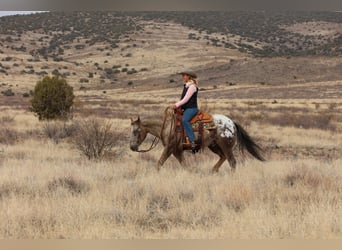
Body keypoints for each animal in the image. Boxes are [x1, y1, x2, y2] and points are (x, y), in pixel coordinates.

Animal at [130, 108, 266, 173]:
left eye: (136, 131)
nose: (132, 147)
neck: (167, 125)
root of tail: (232, 123)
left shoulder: (169, 148)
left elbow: (159, 163)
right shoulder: (177, 150)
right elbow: (184, 165)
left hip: (226, 146)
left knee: (232, 162)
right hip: (214, 146)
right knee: (223, 158)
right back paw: (213, 170)